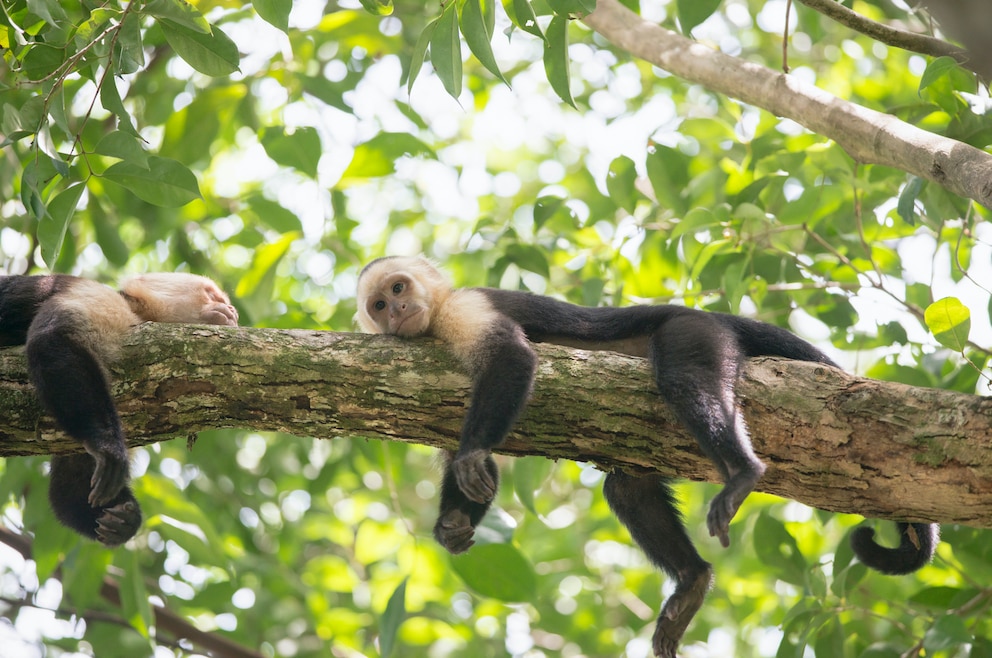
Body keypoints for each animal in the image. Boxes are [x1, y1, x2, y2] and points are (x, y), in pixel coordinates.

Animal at [0, 270, 238, 544]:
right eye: (211, 294)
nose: (232, 309)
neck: (140, 314)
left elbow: (72, 485)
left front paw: (124, 519)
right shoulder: (103, 300)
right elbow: (53, 339)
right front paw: (108, 447)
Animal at [356, 255, 936, 656]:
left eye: (399, 288)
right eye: (379, 306)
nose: (399, 310)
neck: (434, 321)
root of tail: (707, 313)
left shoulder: (464, 309)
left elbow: (511, 360)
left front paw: (473, 454)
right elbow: (478, 469)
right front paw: (454, 522)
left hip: (697, 333)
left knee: (683, 375)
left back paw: (741, 471)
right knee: (627, 487)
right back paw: (692, 580)